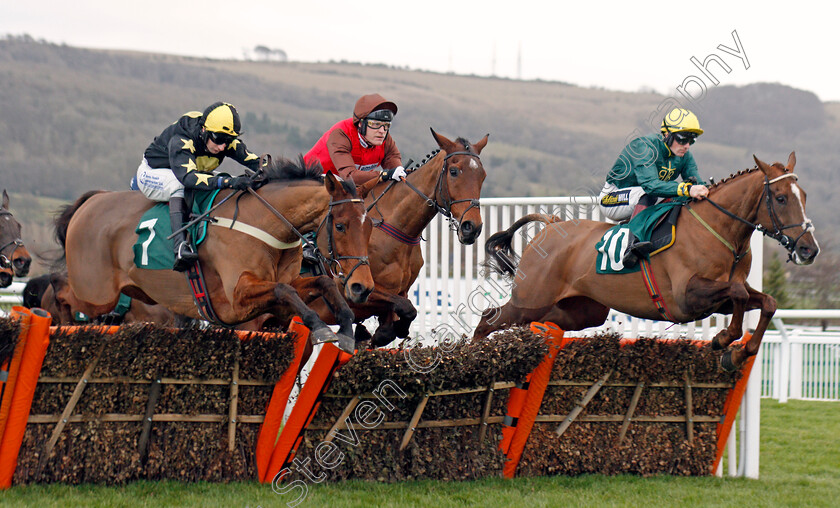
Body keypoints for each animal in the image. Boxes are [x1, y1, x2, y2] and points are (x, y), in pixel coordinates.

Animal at [55, 159, 374, 350]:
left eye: (370, 224)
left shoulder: (278, 293)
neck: (265, 223)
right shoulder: (237, 299)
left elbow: (322, 283)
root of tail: (93, 199)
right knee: (65, 294)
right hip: (95, 292)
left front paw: (347, 331)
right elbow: (285, 291)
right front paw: (321, 328)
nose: (363, 287)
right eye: (341, 226)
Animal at [476, 153, 816, 372]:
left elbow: (766, 302)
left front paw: (736, 354)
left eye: (804, 195)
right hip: (531, 299)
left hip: (579, 311)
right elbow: (740, 295)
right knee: (489, 317)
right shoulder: (687, 296)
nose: (808, 249)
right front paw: (723, 340)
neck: (720, 232)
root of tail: (551, 225)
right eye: (781, 198)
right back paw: (477, 356)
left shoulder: (717, 299)